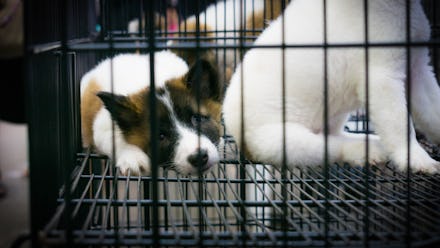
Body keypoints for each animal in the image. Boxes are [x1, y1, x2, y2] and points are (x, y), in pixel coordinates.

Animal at [80, 50, 222, 175]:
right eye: (161, 136)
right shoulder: (102, 126)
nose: (199, 157)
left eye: (197, 119)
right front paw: (133, 158)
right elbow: (116, 139)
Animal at [223, 0, 440, 173]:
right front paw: (417, 159)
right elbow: (400, 125)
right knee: (329, 147)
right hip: (279, 139)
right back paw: (365, 150)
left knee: (334, 135)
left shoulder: (418, 69)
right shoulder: (382, 77)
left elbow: (433, 110)